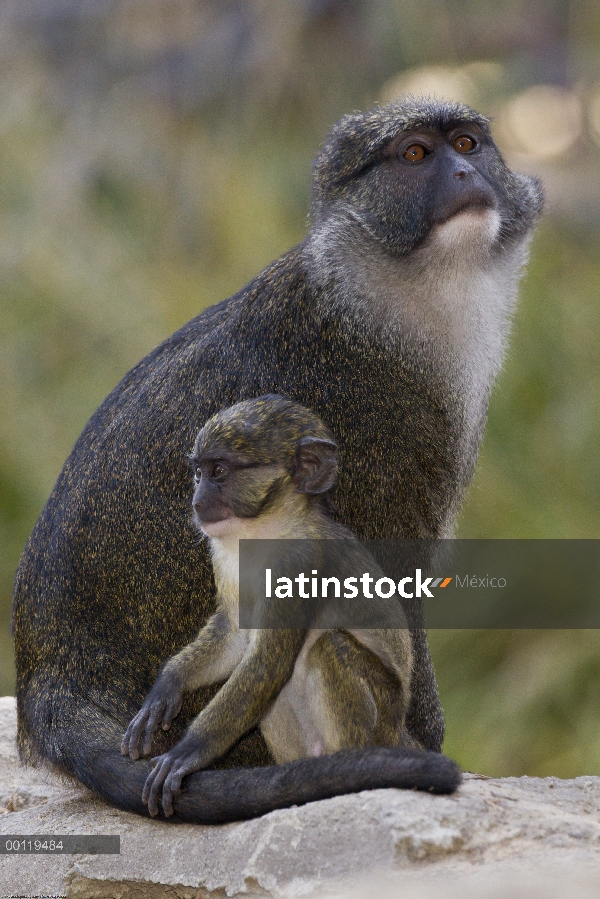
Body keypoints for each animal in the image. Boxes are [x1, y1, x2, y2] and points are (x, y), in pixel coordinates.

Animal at [123, 398, 418, 820]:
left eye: (219, 471)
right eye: (197, 473)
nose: (197, 502)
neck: (262, 530)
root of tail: (400, 729)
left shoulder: (296, 563)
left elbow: (268, 661)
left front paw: (186, 752)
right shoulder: (223, 560)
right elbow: (236, 637)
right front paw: (168, 685)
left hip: (383, 717)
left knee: (330, 647)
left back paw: (349, 769)